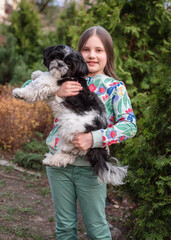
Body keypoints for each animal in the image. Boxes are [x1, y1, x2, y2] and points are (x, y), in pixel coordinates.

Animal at [12, 44, 127, 185]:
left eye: (69, 63)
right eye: (56, 56)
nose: (60, 64)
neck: (67, 76)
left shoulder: (50, 83)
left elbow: (35, 87)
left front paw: (20, 92)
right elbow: (42, 75)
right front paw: (36, 73)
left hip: (73, 126)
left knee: (79, 147)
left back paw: (68, 148)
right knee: (68, 157)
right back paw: (51, 159)